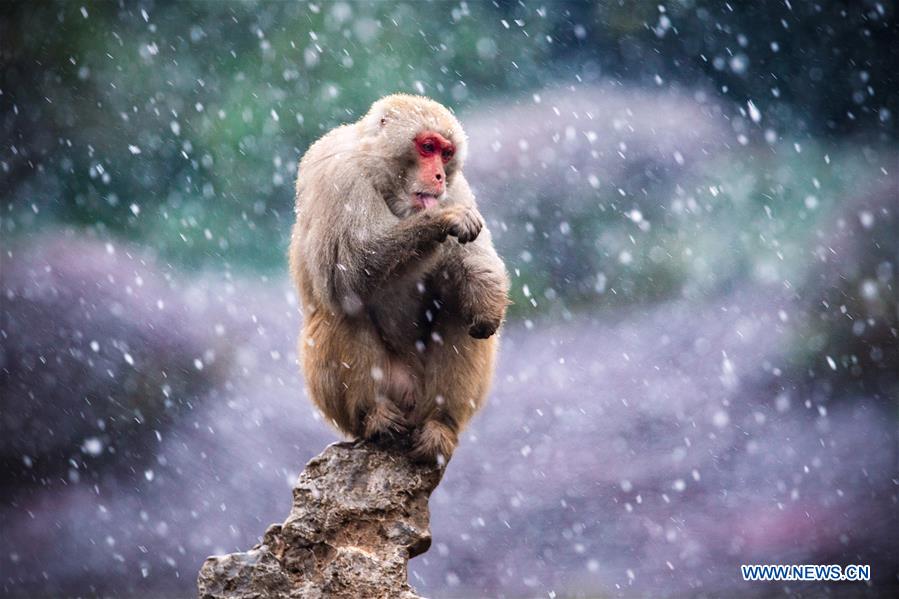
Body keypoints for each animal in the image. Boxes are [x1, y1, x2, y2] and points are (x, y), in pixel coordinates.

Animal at [292, 95, 510, 464]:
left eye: (446, 153)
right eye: (427, 147)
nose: (438, 176)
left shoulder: (458, 188)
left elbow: (474, 264)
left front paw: (487, 301)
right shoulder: (340, 174)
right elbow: (348, 268)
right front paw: (441, 219)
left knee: (456, 311)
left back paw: (439, 426)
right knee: (345, 305)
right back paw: (375, 418)